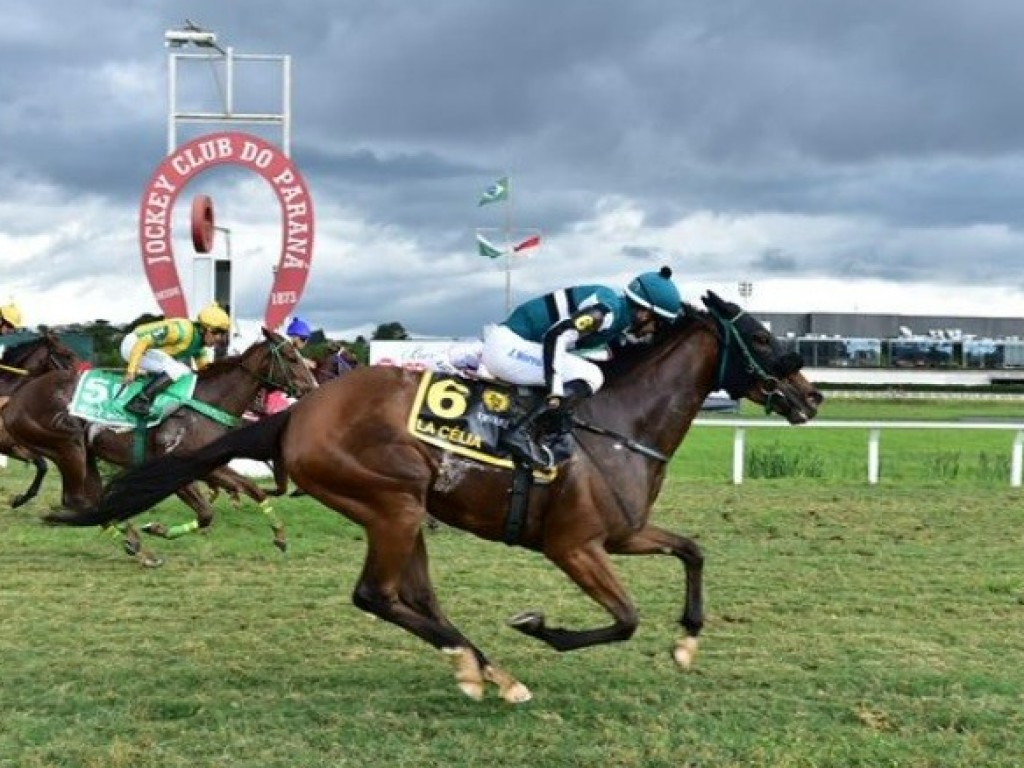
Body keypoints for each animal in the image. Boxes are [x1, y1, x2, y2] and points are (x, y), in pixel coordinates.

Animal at [0, 333, 79, 507]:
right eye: (67, 354)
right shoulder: (9, 446)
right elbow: (42, 464)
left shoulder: (17, 446)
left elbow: (43, 466)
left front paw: (20, 499)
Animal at [58, 290, 823, 700]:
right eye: (762, 337)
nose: (812, 395)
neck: (617, 425)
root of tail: (298, 414)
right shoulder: (574, 546)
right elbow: (626, 618)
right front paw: (539, 626)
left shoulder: (625, 533)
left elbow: (693, 551)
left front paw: (688, 643)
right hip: (392, 502)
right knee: (377, 595)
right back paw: (485, 667)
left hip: (407, 510)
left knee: (415, 597)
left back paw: (486, 670)